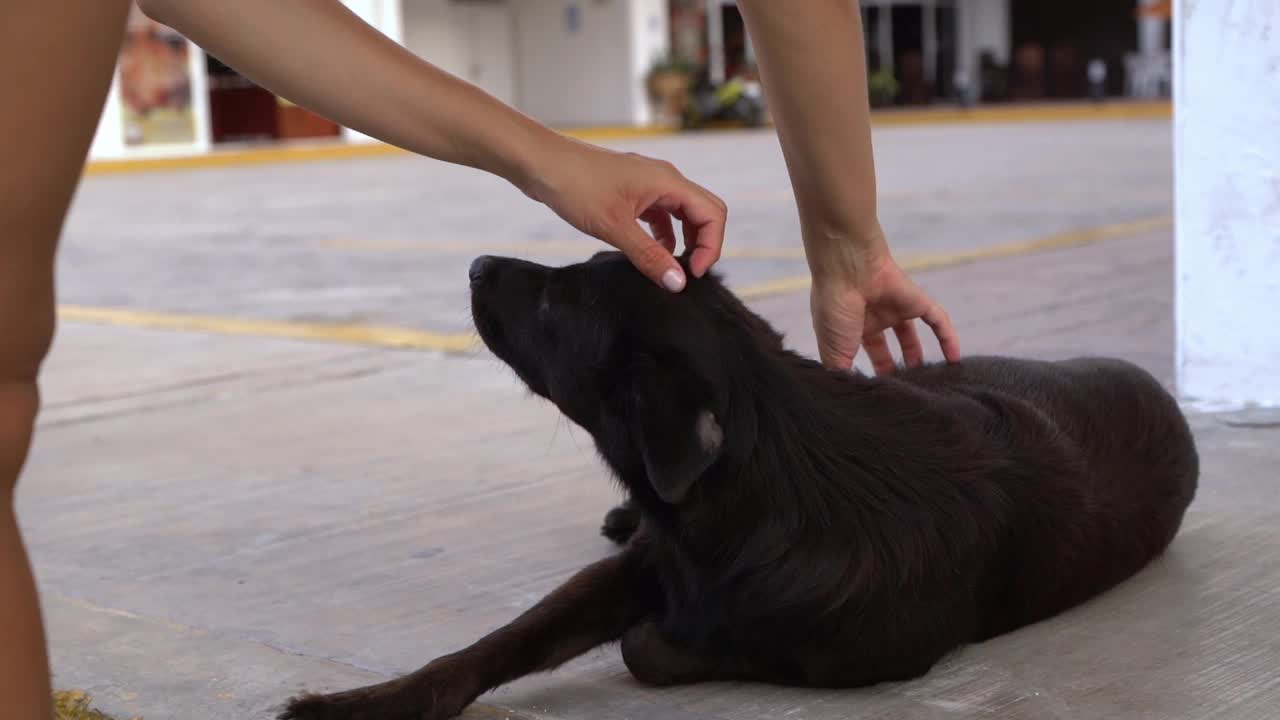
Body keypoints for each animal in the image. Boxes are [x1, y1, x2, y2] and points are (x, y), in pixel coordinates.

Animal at [282, 251, 1198, 717]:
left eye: (555, 303)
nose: (475, 264)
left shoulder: (867, 659)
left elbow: (647, 645)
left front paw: (668, 632)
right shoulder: (643, 565)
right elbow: (498, 644)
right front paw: (362, 704)